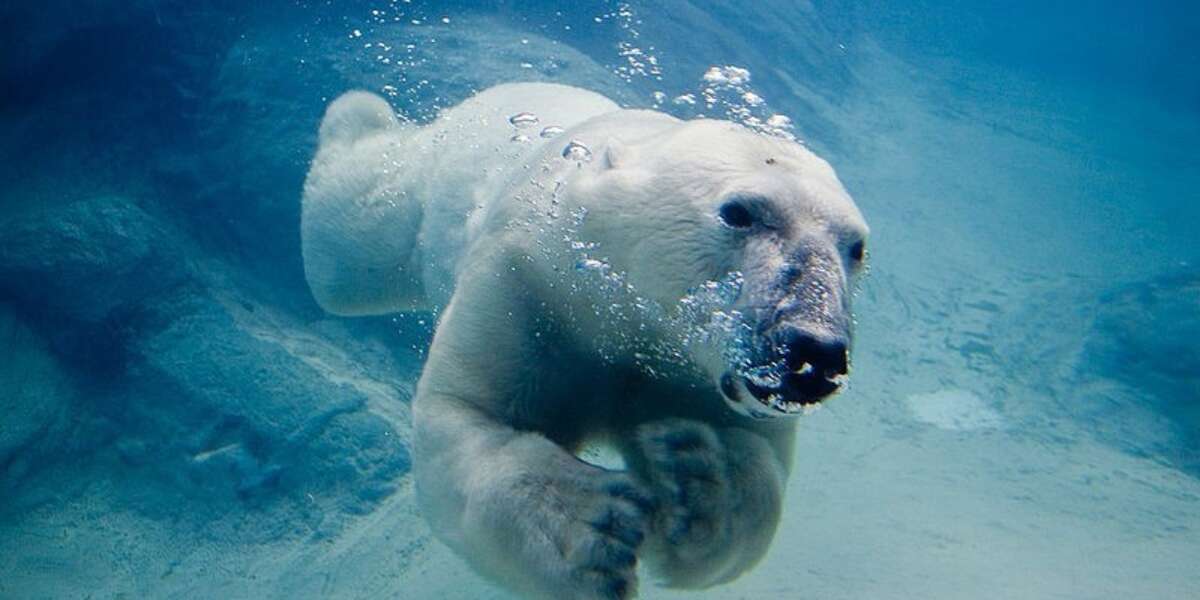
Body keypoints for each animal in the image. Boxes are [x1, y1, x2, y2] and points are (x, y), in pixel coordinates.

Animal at [302, 83, 870, 599]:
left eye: (857, 247)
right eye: (739, 212)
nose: (814, 353)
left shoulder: (700, 377)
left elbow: (756, 469)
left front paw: (696, 474)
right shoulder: (528, 284)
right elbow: (468, 414)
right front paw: (594, 531)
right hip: (430, 180)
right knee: (352, 243)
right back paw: (357, 114)